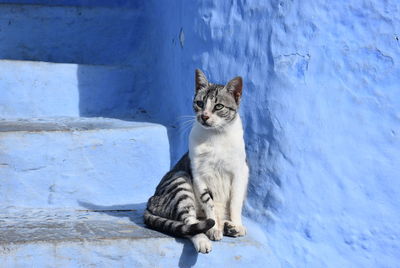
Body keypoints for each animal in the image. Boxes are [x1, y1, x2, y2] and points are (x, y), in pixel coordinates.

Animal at [145, 69, 248, 253]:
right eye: (200, 103)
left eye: (218, 106)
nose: (204, 116)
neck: (216, 136)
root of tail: (151, 201)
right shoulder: (199, 174)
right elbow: (209, 204)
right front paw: (214, 229)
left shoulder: (239, 172)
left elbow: (235, 202)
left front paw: (236, 224)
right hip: (180, 181)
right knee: (190, 224)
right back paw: (205, 238)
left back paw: (229, 226)